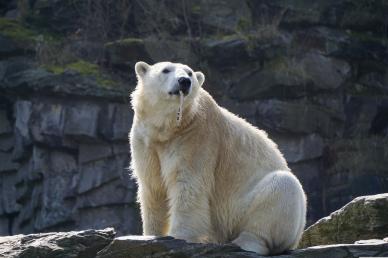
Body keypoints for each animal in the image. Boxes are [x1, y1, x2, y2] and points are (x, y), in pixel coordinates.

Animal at [130, 61, 306, 256]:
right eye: (165, 70)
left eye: (190, 73)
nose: (184, 82)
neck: (167, 129)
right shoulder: (146, 141)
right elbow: (153, 187)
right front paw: (150, 235)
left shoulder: (196, 137)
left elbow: (188, 185)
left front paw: (179, 237)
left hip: (244, 208)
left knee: (282, 188)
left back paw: (244, 242)